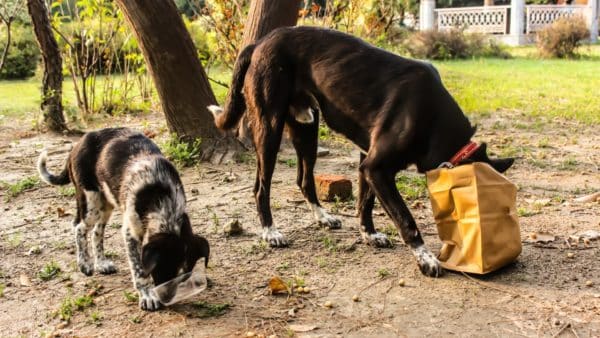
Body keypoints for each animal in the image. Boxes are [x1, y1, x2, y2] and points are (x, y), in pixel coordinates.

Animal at [37, 128, 210, 310]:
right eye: (159, 271)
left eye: (183, 277)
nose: (167, 299)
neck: (163, 199)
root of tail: (77, 144)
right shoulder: (130, 233)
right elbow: (139, 270)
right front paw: (147, 295)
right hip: (91, 201)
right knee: (79, 227)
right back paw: (85, 264)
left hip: (106, 203)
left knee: (97, 232)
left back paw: (101, 263)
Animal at [209, 25, 512, 276]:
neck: (434, 117)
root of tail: (259, 42)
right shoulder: (376, 167)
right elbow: (405, 217)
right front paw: (425, 258)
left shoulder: (367, 161)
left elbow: (366, 202)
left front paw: (369, 235)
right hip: (269, 130)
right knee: (261, 187)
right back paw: (270, 232)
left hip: (307, 129)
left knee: (304, 180)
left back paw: (323, 217)